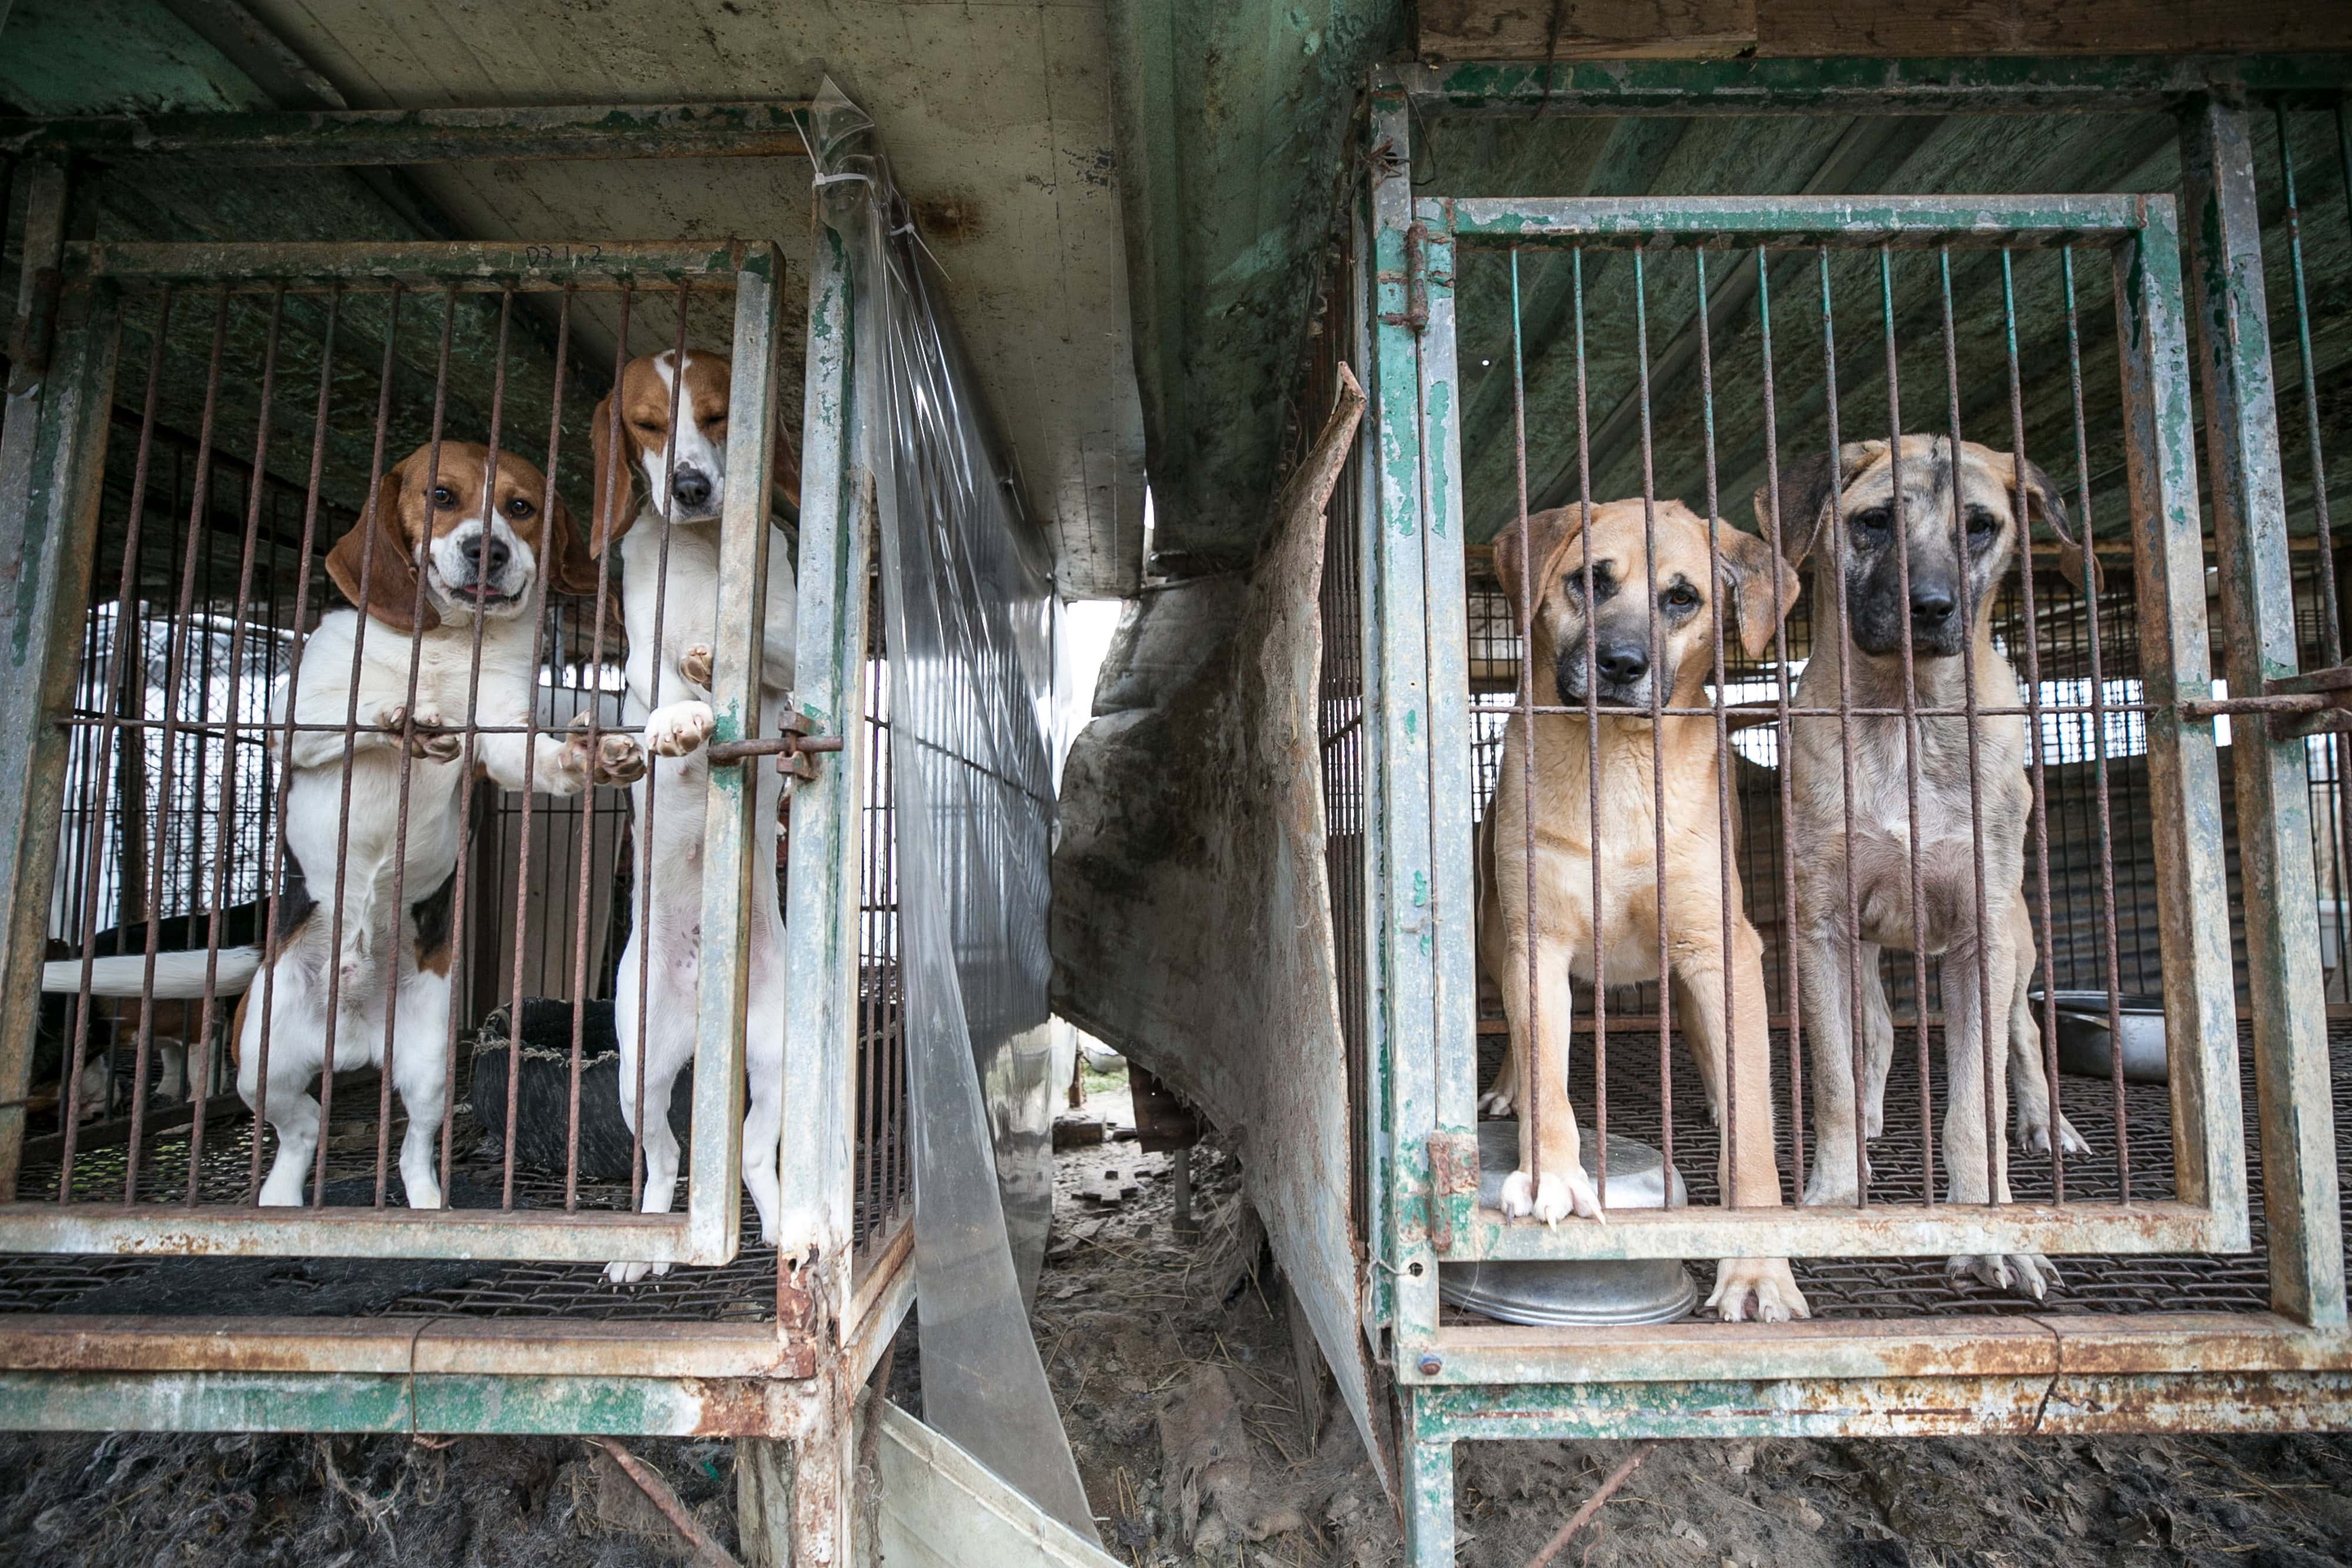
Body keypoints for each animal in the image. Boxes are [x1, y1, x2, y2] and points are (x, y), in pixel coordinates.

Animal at [221, 446, 640, 1213]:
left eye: (521, 507)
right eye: (441, 496)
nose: (488, 549)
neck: (445, 643)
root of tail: (352, 1037)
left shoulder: (501, 736)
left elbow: (536, 756)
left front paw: (585, 755)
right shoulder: (294, 718)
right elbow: (355, 710)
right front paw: (403, 714)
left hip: (432, 1062)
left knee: (408, 1143)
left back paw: (423, 1201)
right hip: (259, 1054)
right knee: (300, 1128)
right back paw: (282, 1196)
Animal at [1477, 500, 1806, 1326]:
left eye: (1681, 597)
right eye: (1588, 582)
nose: (1622, 665)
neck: (1620, 763)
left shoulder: (1720, 949)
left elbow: (1751, 1131)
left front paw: (1758, 1268)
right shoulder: (1537, 941)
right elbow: (1547, 1071)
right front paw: (1550, 1173)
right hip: (1493, 934)